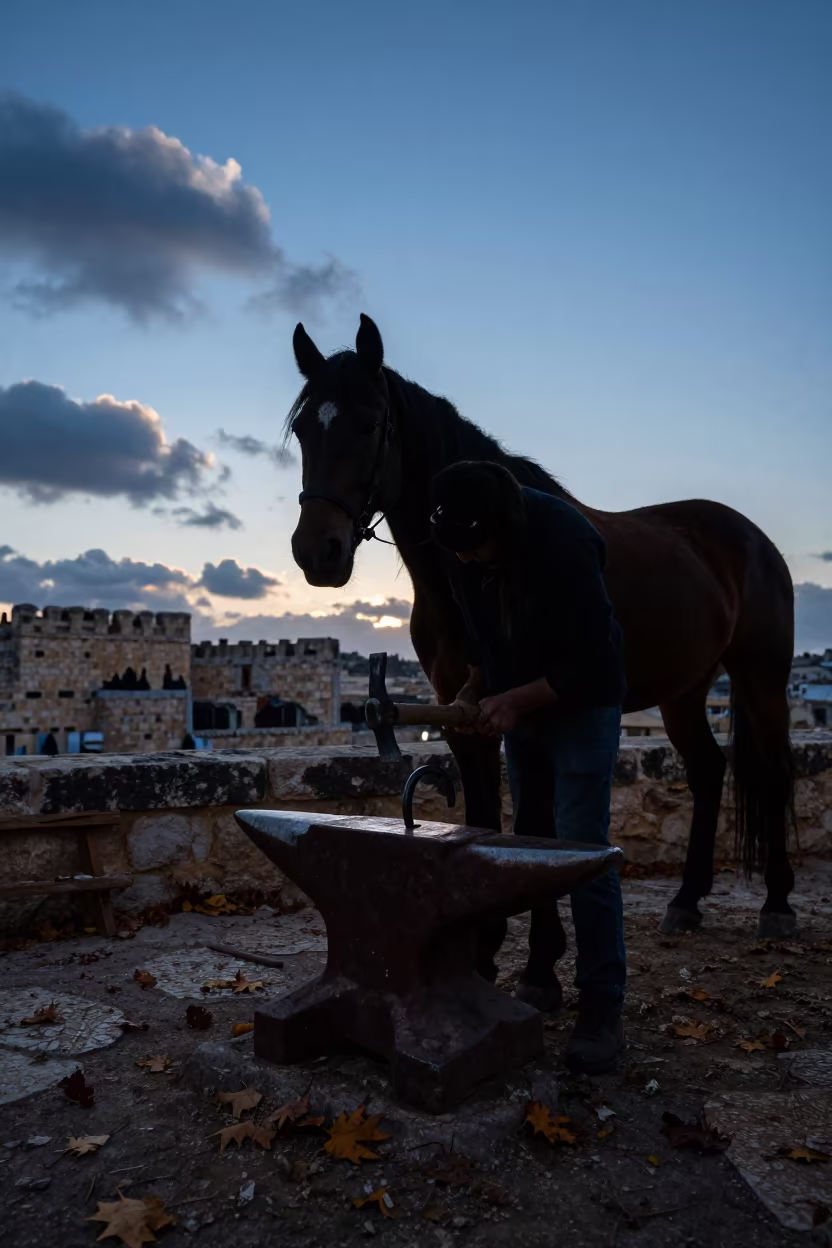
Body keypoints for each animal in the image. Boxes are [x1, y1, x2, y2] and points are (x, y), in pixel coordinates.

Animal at [285, 314, 796, 953]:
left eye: (370, 423)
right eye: (303, 428)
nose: (317, 552)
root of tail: (751, 538)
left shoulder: (527, 707)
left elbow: (535, 827)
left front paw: (539, 949)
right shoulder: (461, 711)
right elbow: (483, 818)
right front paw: (481, 941)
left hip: (761, 679)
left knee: (774, 774)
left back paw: (777, 903)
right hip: (685, 690)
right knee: (707, 770)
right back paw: (687, 899)